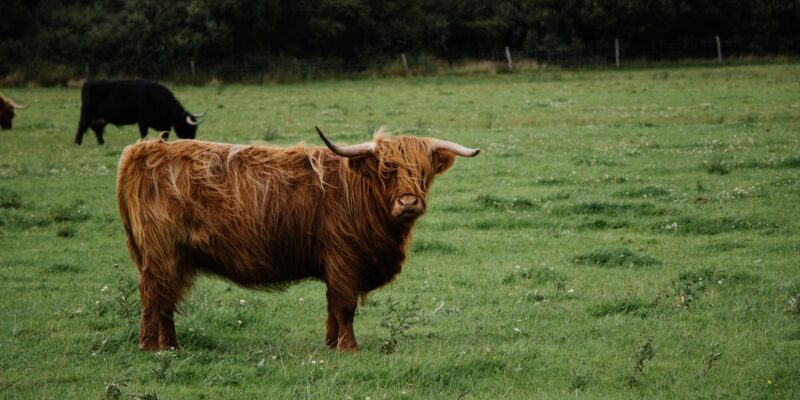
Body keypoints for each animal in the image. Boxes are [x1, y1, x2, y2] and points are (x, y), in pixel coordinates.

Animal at [74, 78, 205, 145]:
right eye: (188, 127)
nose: (192, 141)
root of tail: (89, 82)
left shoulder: (164, 125)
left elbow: (164, 135)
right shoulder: (143, 121)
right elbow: (144, 134)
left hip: (99, 118)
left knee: (97, 129)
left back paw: (101, 143)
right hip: (86, 113)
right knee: (82, 125)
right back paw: (78, 142)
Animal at [117, 126, 482, 350]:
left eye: (422, 172)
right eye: (386, 170)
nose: (408, 202)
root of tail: (144, 149)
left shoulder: (335, 265)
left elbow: (332, 306)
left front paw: (331, 344)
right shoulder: (344, 258)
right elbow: (345, 306)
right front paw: (349, 348)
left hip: (173, 257)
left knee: (166, 299)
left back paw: (171, 346)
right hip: (162, 252)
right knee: (154, 297)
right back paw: (150, 346)